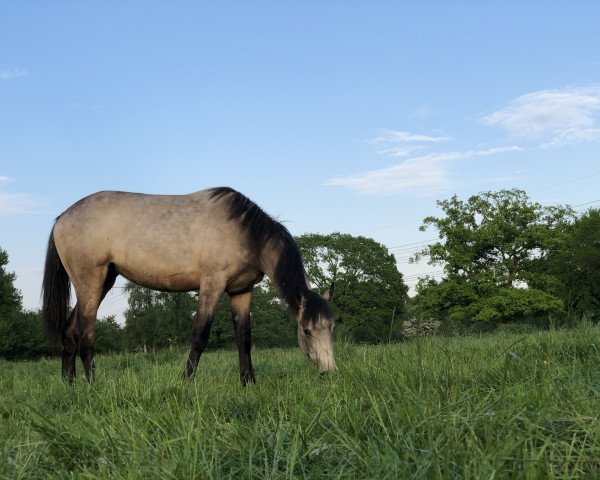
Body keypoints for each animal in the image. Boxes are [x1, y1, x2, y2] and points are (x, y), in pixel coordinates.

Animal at [41, 186, 338, 384]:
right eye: (307, 330)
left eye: (331, 327)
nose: (330, 372)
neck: (245, 231)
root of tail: (62, 218)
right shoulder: (212, 285)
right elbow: (199, 336)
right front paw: (186, 382)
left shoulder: (241, 291)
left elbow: (244, 338)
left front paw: (249, 383)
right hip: (91, 283)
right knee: (86, 336)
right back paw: (93, 385)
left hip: (102, 282)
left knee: (70, 332)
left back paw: (70, 385)